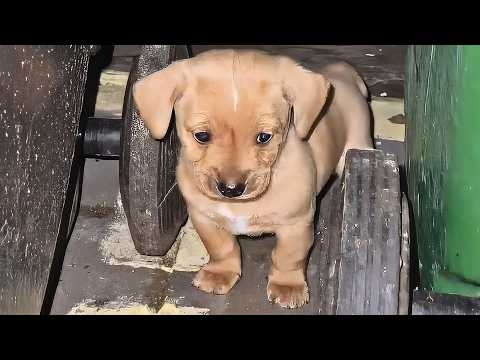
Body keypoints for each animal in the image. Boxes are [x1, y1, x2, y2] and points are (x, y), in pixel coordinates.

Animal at [133, 49, 374, 308]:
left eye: (264, 137)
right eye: (202, 136)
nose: (230, 189)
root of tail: (343, 74)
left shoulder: (296, 225)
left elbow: (288, 257)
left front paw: (288, 286)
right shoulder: (204, 217)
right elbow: (222, 248)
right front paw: (220, 273)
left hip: (359, 144)